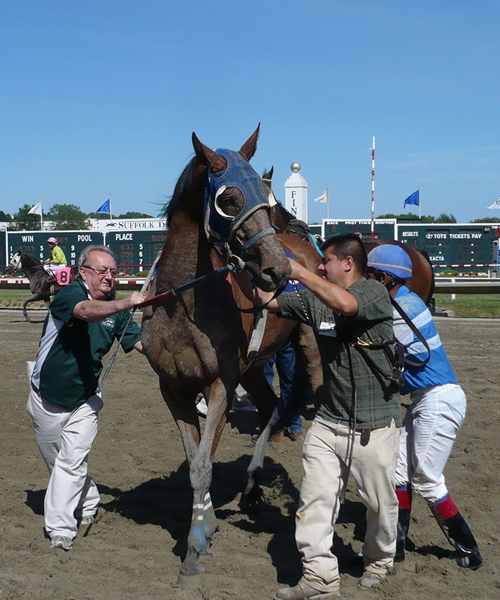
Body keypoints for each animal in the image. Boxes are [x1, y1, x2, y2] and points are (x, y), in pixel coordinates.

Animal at [141, 126, 324, 580]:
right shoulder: (173, 387)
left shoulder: (220, 382)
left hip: (307, 344)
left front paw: (195, 544)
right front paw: (205, 524)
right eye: (229, 200)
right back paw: (253, 485)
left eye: (264, 191)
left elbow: (206, 461)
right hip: (254, 367)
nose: (279, 270)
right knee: (271, 405)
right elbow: (195, 460)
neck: (183, 303)